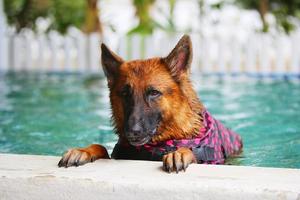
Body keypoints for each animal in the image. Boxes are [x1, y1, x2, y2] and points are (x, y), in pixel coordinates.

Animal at [57, 35, 243, 173]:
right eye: (125, 94)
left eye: (154, 93)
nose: (132, 132)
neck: (159, 143)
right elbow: (100, 146)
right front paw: (83, 150)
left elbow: (190, 151)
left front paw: (180, 153)